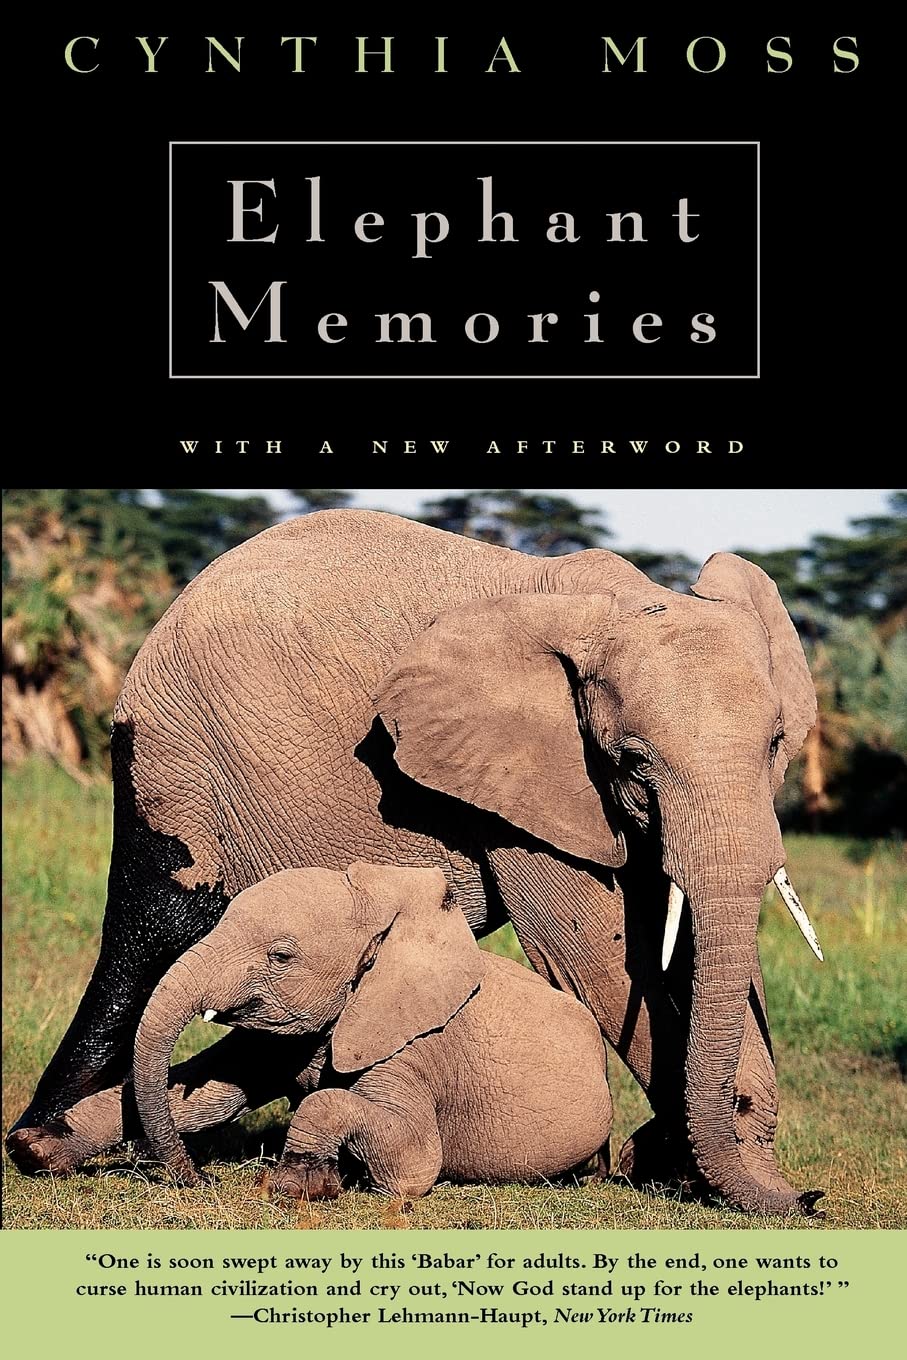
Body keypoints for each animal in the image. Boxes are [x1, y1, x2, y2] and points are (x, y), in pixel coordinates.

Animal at [123, 862, 613, 1197]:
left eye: (280, 957)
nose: (201, 1178)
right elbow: (203, 1100)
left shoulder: (411, 1049)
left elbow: (417, 1163)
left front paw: (298, 1183)